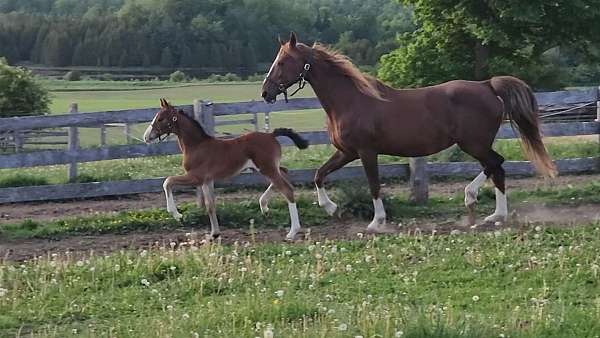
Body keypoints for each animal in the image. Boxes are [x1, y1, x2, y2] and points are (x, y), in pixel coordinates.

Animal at [143, 99, 308, 239]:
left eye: (160, 119)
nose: (146, 137)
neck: (196, 146)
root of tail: (271, 135)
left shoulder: (196, 177)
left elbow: (168, 181)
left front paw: (177, 215)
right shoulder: (207, 181)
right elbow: (210, 206)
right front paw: (214, 234)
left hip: (267, 168)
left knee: (287, 189)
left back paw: (292, 232)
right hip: (267, 167)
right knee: (285, 172)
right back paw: (264, 206)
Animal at [262, 32, 556, 232]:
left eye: (283, 61)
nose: (265, 92)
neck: (350, 100)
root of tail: (487, 85)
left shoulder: (366, 152)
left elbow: (374, 184)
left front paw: (376, 222)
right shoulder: (346, 152)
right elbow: (319, 175)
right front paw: (332, 209)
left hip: (473, 143)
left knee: (497, 164)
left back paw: (477, 202)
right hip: (476, 144)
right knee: (496, 168)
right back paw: (493, 214)